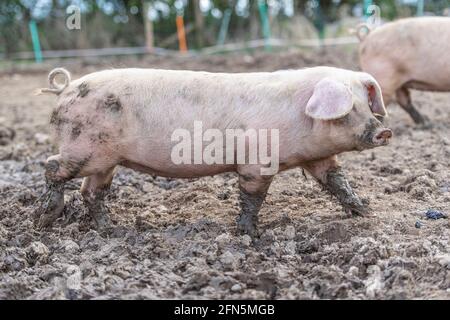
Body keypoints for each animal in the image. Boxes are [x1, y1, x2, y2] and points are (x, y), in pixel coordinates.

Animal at [37, 67, 392, 238]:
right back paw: (46, 218)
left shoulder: (318, 158)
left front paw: (366, 212)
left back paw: (111, 228)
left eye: (367, 105)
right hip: (82, 149)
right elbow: (253, 197)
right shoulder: (256, 161)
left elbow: (338, 182)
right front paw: (251, 234)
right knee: (51, 166)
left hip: (105, 161)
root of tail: (64, 88)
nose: (384, 131)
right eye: (349, 109)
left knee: (91, 191)